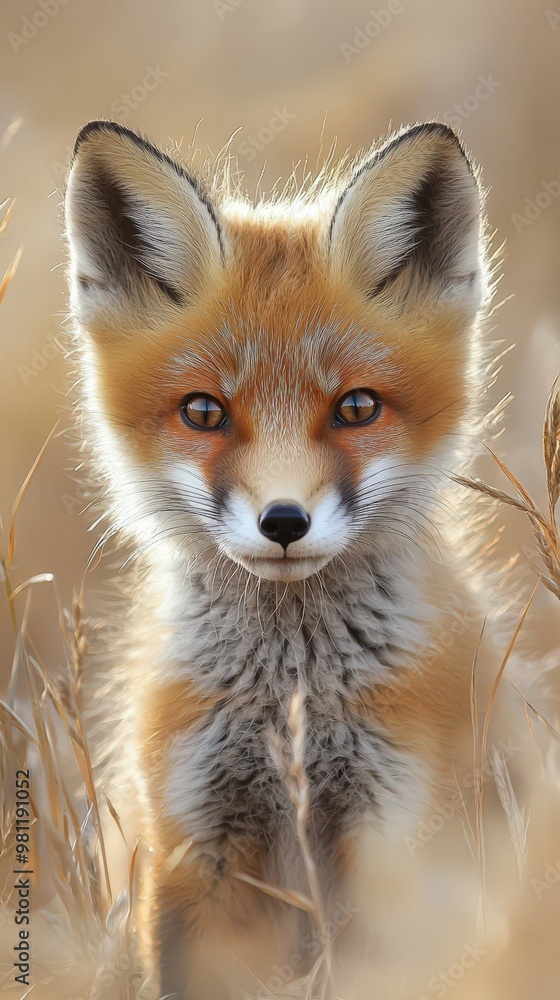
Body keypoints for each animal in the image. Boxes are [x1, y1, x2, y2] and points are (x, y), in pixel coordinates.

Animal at [64, 119, 523, 998]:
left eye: (357, 408)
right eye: (204, 412)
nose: (283, 521)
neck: (290, 697)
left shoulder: (400, 835)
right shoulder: (192, 842)